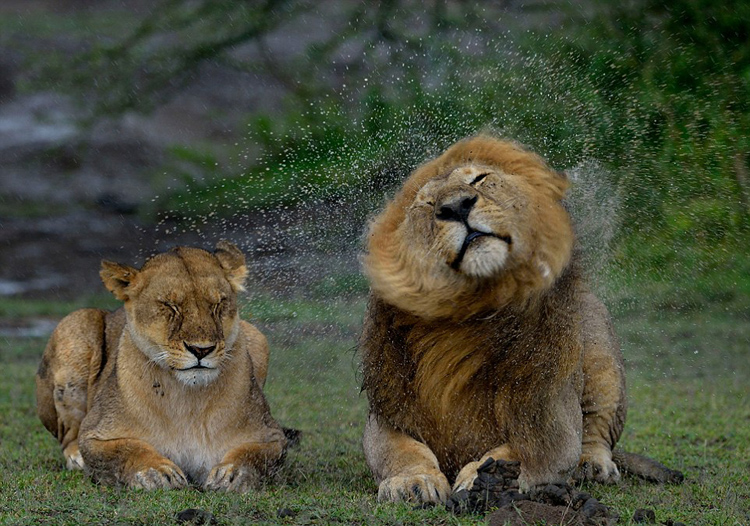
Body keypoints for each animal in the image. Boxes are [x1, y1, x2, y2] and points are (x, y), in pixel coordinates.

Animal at [35, 241, 290, 492]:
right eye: (170, 306)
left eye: (218, 304)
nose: (201, 350)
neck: (188, 401)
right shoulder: (95, 434)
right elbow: (127, 449)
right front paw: (156, 472)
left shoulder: (272, 435)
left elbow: (254, 454)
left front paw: (231, 474)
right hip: (75, 325)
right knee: (67, 436)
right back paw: (76, 457)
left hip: (256, 335)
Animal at [362, 136, 672, 508]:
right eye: (427, 204)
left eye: (478, 179)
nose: (457, 207)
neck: (469, 320)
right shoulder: (388, 412)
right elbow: (402, 451)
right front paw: (412, 482)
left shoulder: (552, 420)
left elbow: (518, 452)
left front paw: (483, 480)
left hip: (603, 365)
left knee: (596, 432)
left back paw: (593, 465)